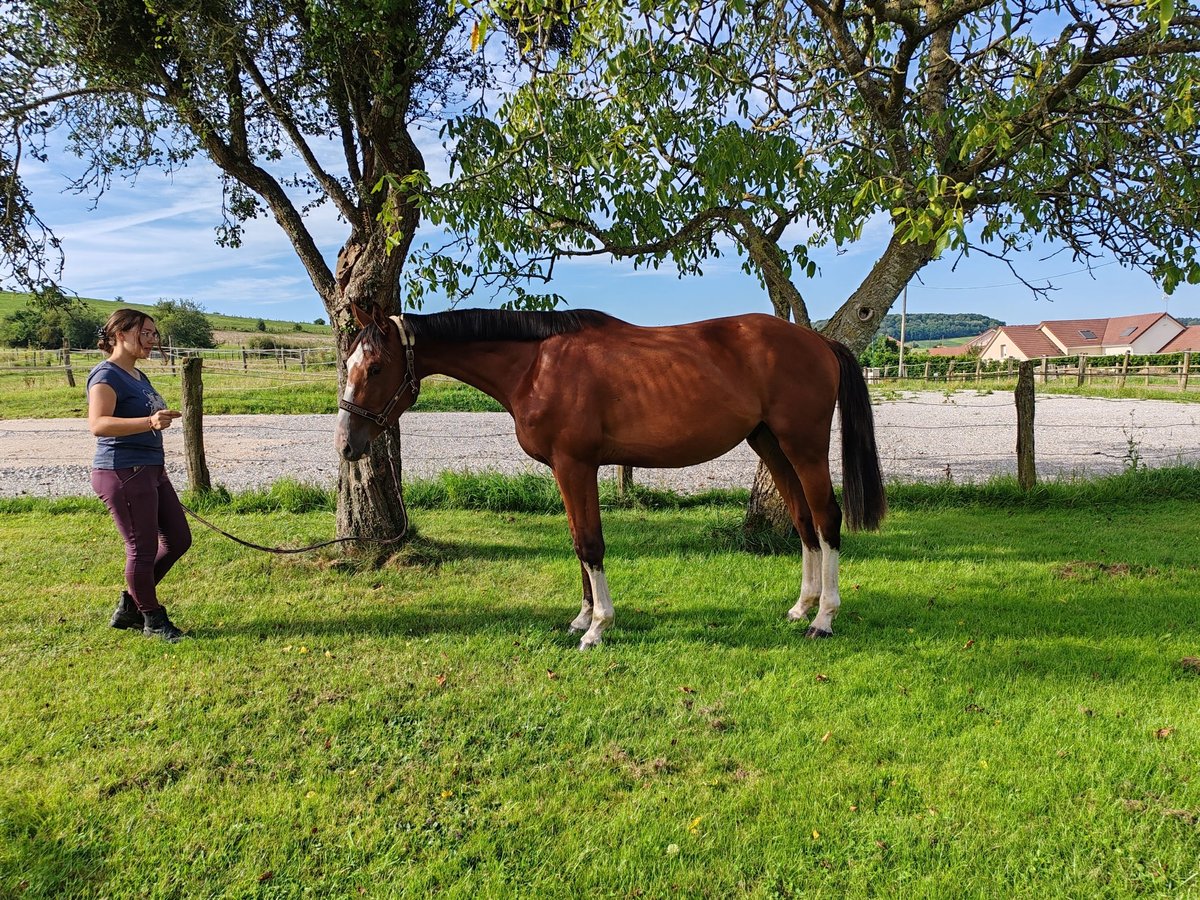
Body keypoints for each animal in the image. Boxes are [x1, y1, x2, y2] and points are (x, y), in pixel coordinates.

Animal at [333, 303, 888, 648]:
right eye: (350, 363)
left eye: (376, 367)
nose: (346, 445)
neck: (535, 366)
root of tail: (820, 343)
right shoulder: (567, 470)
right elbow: (577, 540)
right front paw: (581, 616)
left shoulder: (575, 465)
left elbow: (590, 544)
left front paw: (597, 628)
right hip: (770, 444)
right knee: (802, 521)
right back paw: (801, 608)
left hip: (804, 446)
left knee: (826, 518)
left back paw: (824, 619)